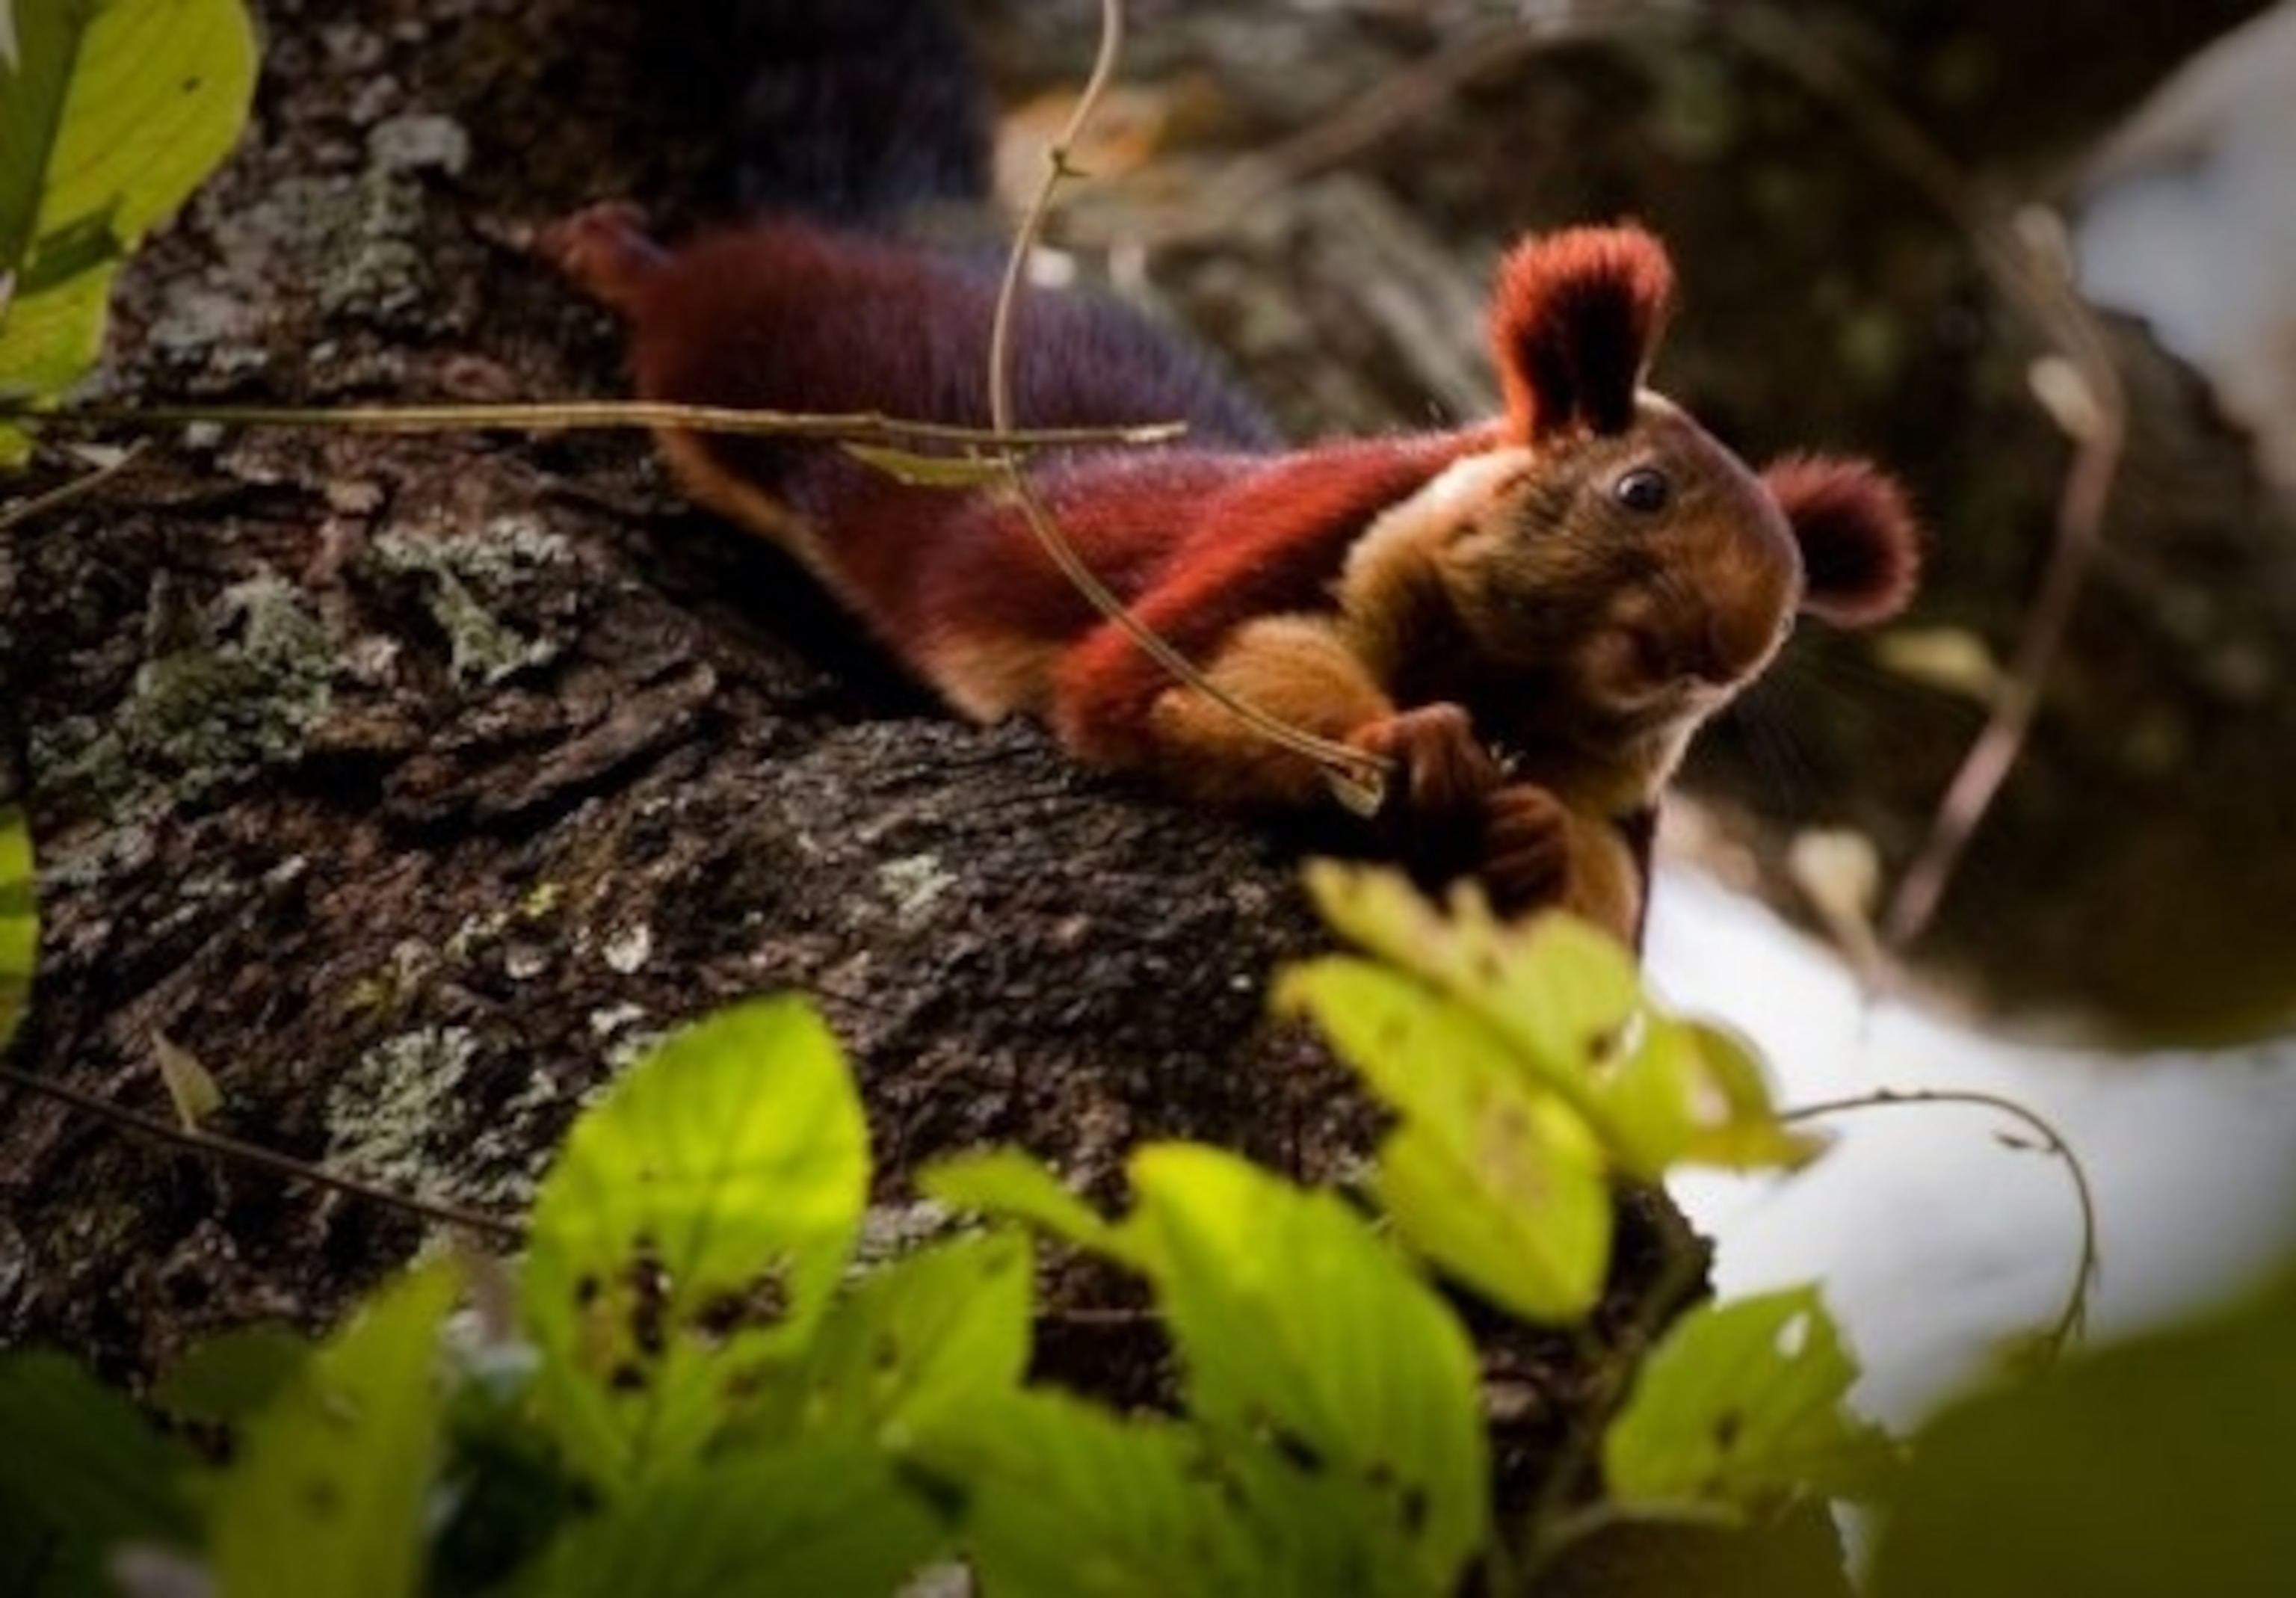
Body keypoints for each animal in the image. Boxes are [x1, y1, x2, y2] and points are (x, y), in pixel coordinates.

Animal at [539, 0, 1921, 946]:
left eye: (1783, 625)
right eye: (1641, 491)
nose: (1719, 647)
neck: (1509, 670)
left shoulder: (1618, 788)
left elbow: (1595, 941)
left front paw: (1530, 832)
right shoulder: (1309, 535)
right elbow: (1166, 682)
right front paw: (1398, 735)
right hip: (786, 357)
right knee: (710, 307)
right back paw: (620, 255)